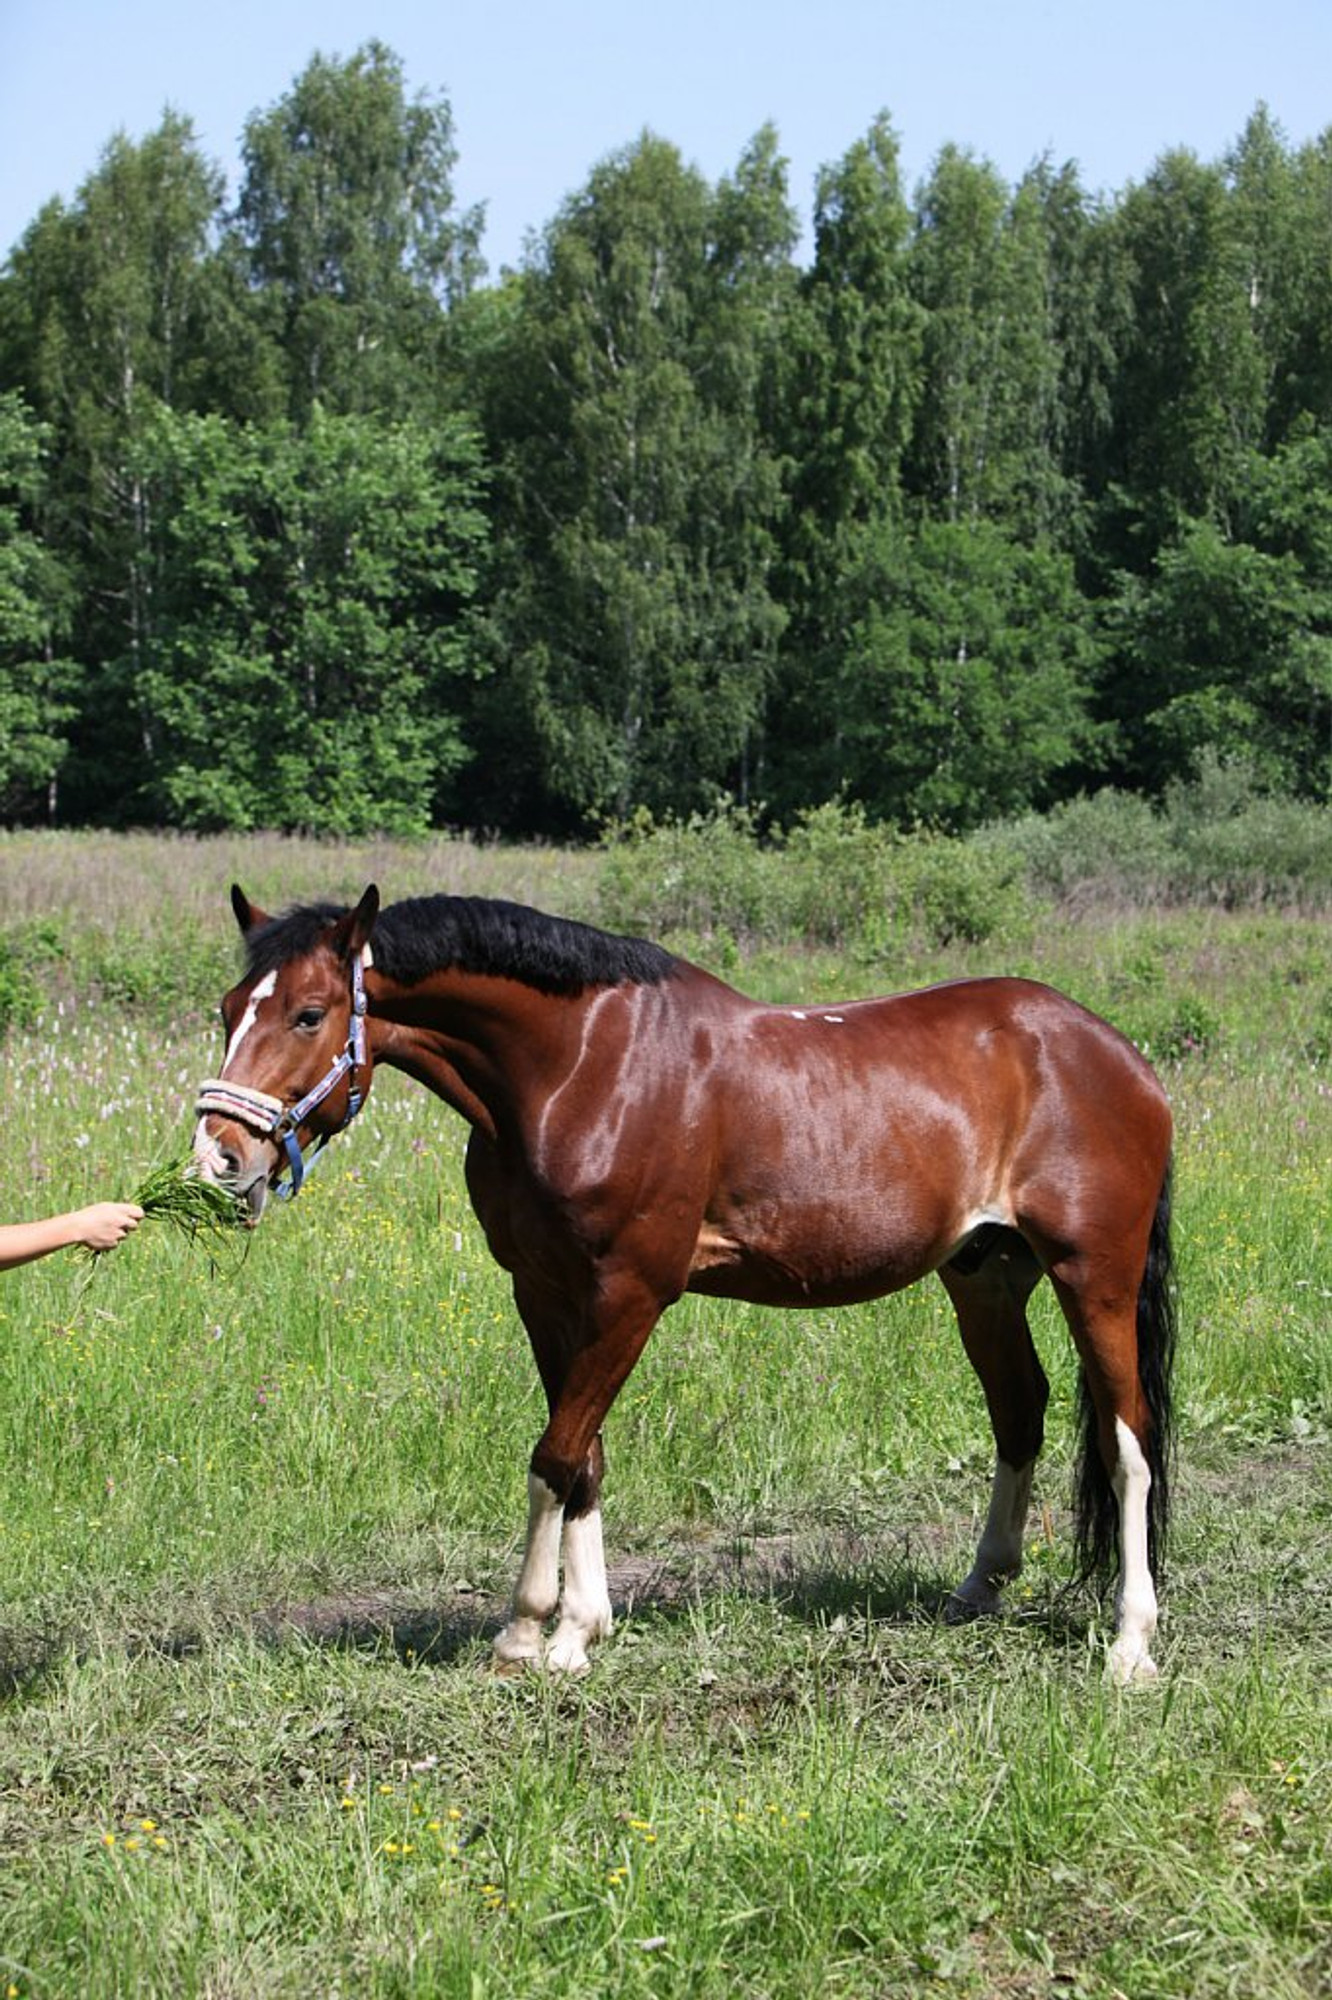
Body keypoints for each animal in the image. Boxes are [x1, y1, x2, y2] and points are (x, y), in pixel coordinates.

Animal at [192, 884, 1168, 1680]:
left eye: (310, 1014)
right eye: (231, 1008)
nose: (219, 1157)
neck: (580, 1068)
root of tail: (1119, 1054)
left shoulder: (631, 1293)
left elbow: (555, 1454)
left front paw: (531, 1632)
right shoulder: (542, 1293)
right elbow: (583, 1455)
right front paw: (583, 1625)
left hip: (1096, 1275)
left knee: (1128, 1439)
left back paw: (1131, 1641)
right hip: (985, 1277)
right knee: (1021, 1412)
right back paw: (981, 1586)